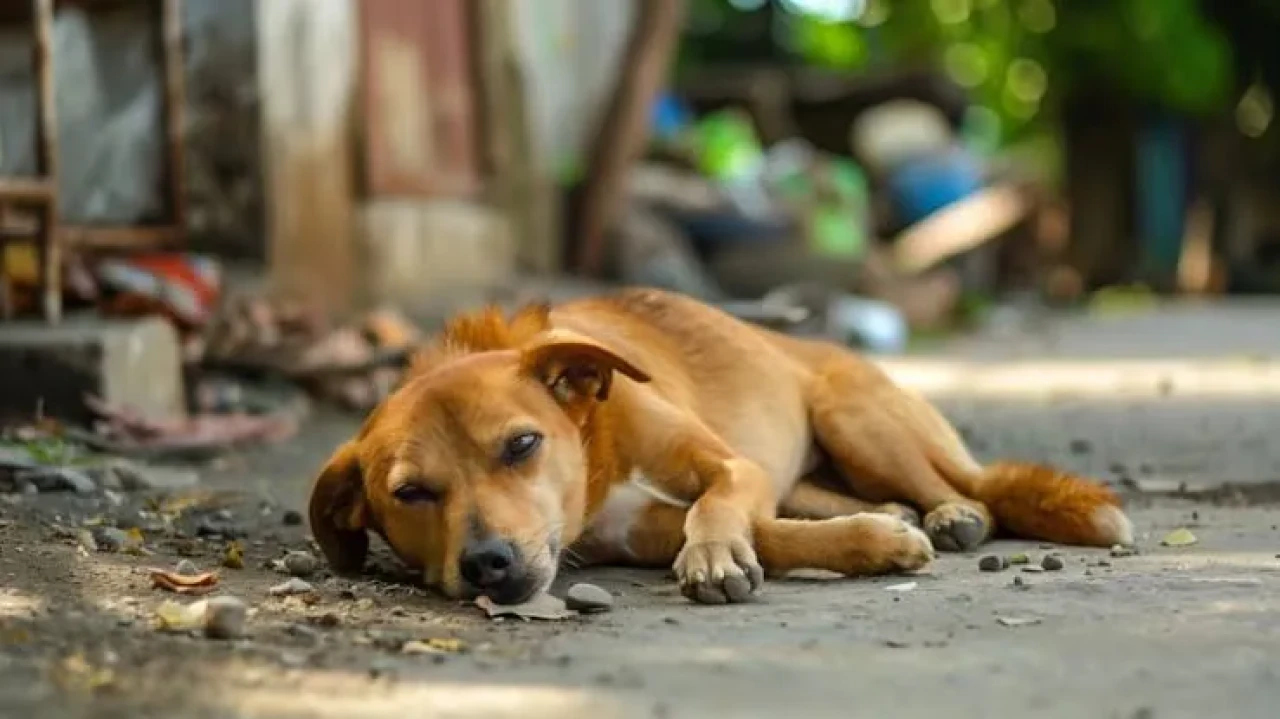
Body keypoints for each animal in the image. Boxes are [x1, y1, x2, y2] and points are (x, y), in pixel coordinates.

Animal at [309, 287, 1131, 601]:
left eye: (521, 444)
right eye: (410, 493)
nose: (488, 564)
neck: (596, 445)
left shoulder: (732, 466)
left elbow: (718, 508)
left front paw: (712, 556)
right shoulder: (639, 530)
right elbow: (771, 533)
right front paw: (873, 540)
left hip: (856, 417)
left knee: (966, 487)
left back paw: (952, 513)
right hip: (819, 464)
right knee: (832, 497)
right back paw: (898, 514)